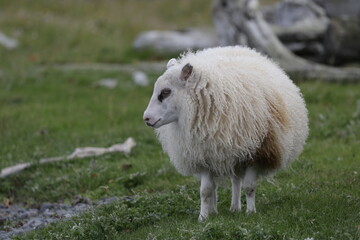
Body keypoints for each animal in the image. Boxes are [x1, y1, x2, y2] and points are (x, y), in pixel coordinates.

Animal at [142, 45, 308, 221]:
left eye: (166, 92)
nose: (146, 118)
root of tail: (236, 48)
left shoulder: (256, 153)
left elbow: (249, 187)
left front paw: (251, 212)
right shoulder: (203, 155)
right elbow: (205, 191)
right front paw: (203, 217)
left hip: (238, 152)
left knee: (236, 181)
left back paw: (235, 207)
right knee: (222, 184)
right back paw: (217, 210)